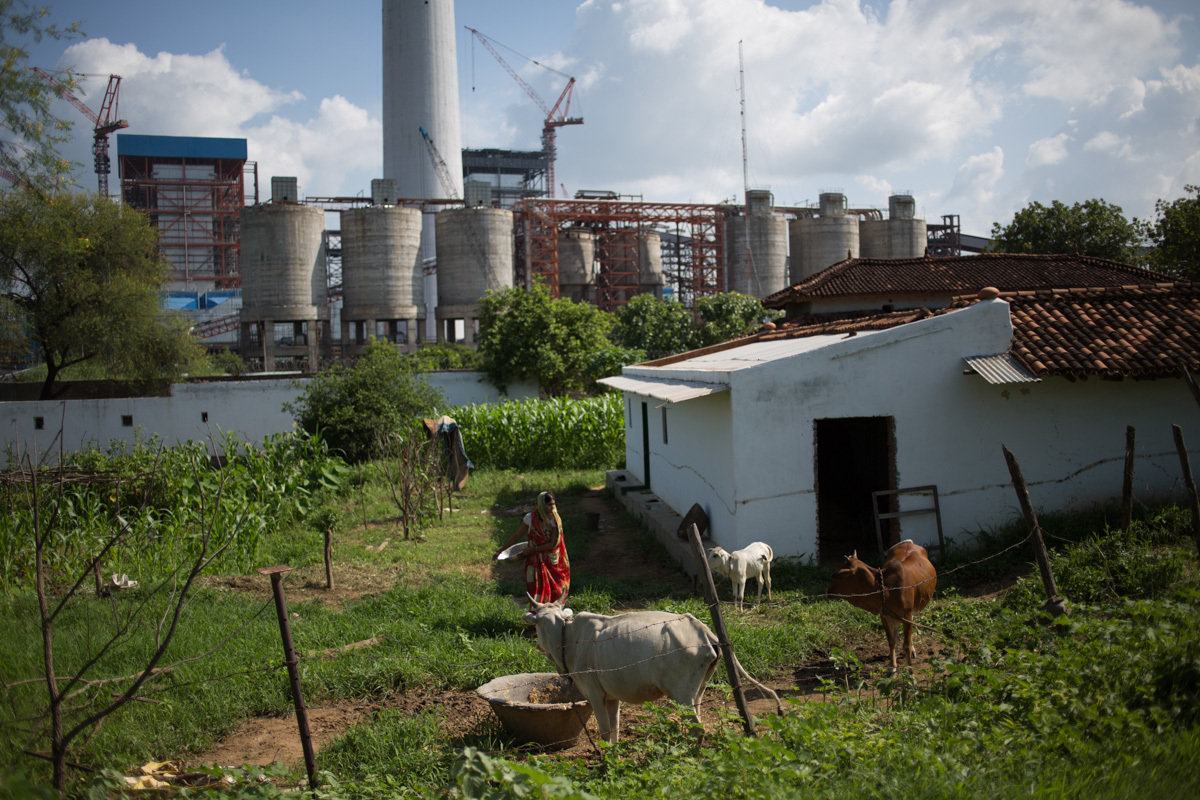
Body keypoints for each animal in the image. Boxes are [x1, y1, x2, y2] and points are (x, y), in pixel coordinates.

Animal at [523, 597, 782, 743]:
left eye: (537, 625)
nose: (536, 645)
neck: (569, 639)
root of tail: (704, 631)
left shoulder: (595, 694)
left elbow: (606, 731)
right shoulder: (612, 697)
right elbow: (615, 730)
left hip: (681, 695)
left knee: (698, 730)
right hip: (697, 690)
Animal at [825, 542, 936, 671]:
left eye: (837, 576)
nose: (828, 591)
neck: (887, 589)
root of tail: (908, 542)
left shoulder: (907, 615)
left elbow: (906, 645)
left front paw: (909, 670)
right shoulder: (885, 616)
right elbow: (891, 641)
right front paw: (892, 665)